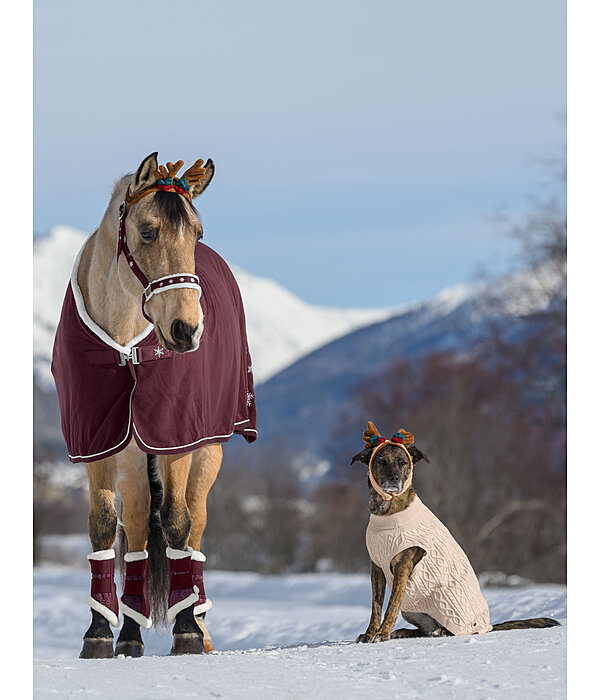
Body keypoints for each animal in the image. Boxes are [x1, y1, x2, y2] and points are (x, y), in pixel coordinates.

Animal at [51, 152, 255, 656]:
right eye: (147, 232)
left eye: (197, 234)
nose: (186, 329)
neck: (127, 341)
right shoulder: (97, 439)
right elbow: (105, 527)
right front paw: (98, 634)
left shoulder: (175, 435)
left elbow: (179, 523)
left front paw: (186, 632)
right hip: (130, 453)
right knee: (141, 526)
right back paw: (129, 632)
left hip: (208, 449)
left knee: (194, 525)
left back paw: (197, 621)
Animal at [352, 418, 556, 644]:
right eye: (381, 462)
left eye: (403, 462)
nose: (395, 478)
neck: (388, 512)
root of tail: (487, 627)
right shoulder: (377, 567)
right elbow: (376, 606)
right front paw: (370, 633)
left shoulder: (403, 567)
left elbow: (391, 606)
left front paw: (382, 634)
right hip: (412, 607)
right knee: (425, 629)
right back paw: (407, 631)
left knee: (454, 630)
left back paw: (439, 631)